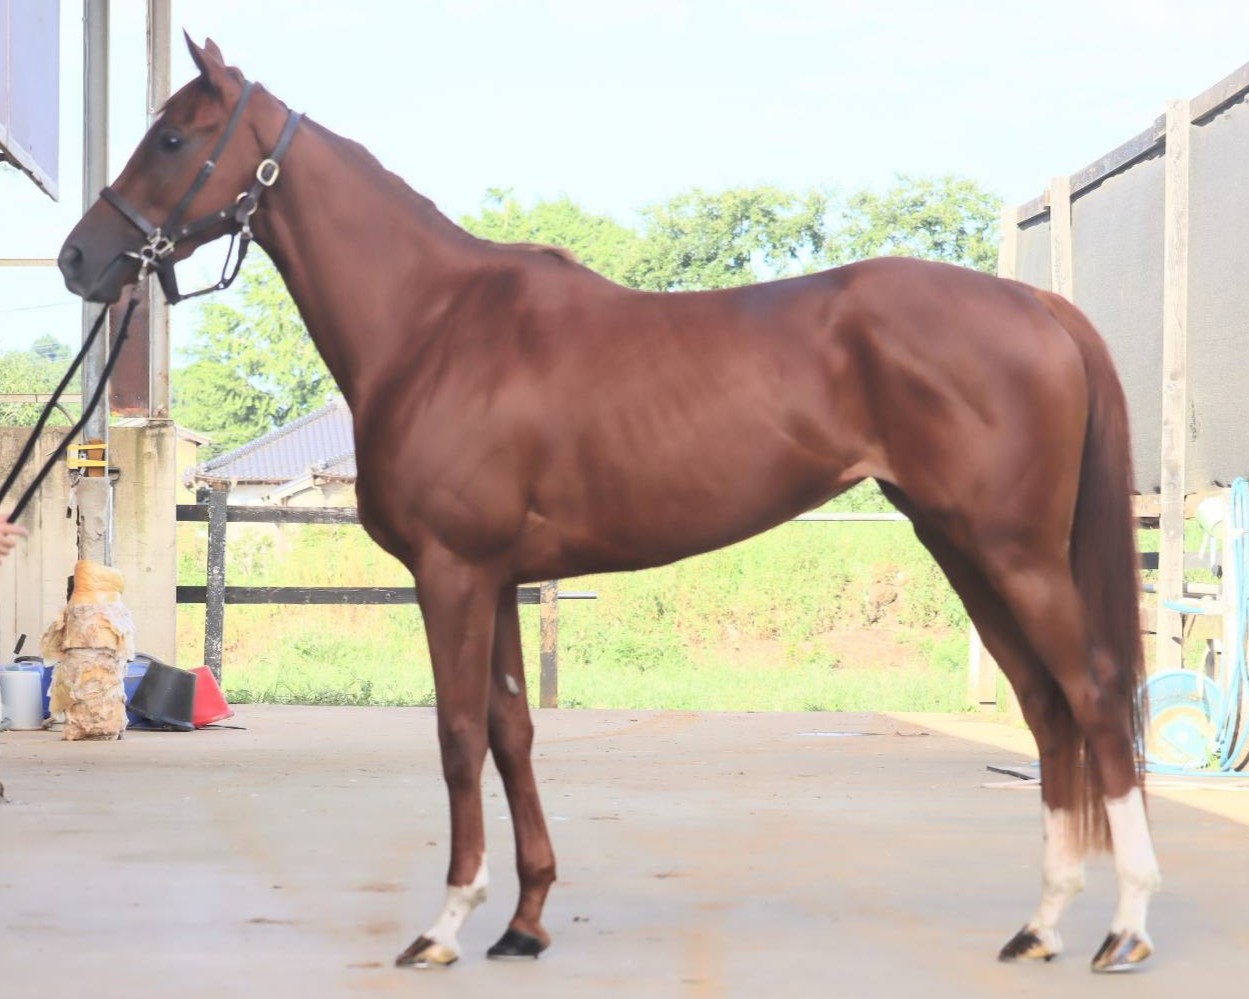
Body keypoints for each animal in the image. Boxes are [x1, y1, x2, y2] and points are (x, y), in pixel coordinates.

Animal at [58, 36, 1159, 974]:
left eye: (172, 137)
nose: (78, 258)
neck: (432, 325)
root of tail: (1042, 307)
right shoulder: (498, 579)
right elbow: (510, 732)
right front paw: (525, 920)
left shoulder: (452, 574)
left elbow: (456, 737)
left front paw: (445, 925)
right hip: (965, 548)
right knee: (1046, 708)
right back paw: (1040, 925)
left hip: (1013, 553)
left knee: (1096, 696)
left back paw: (1126, 928)